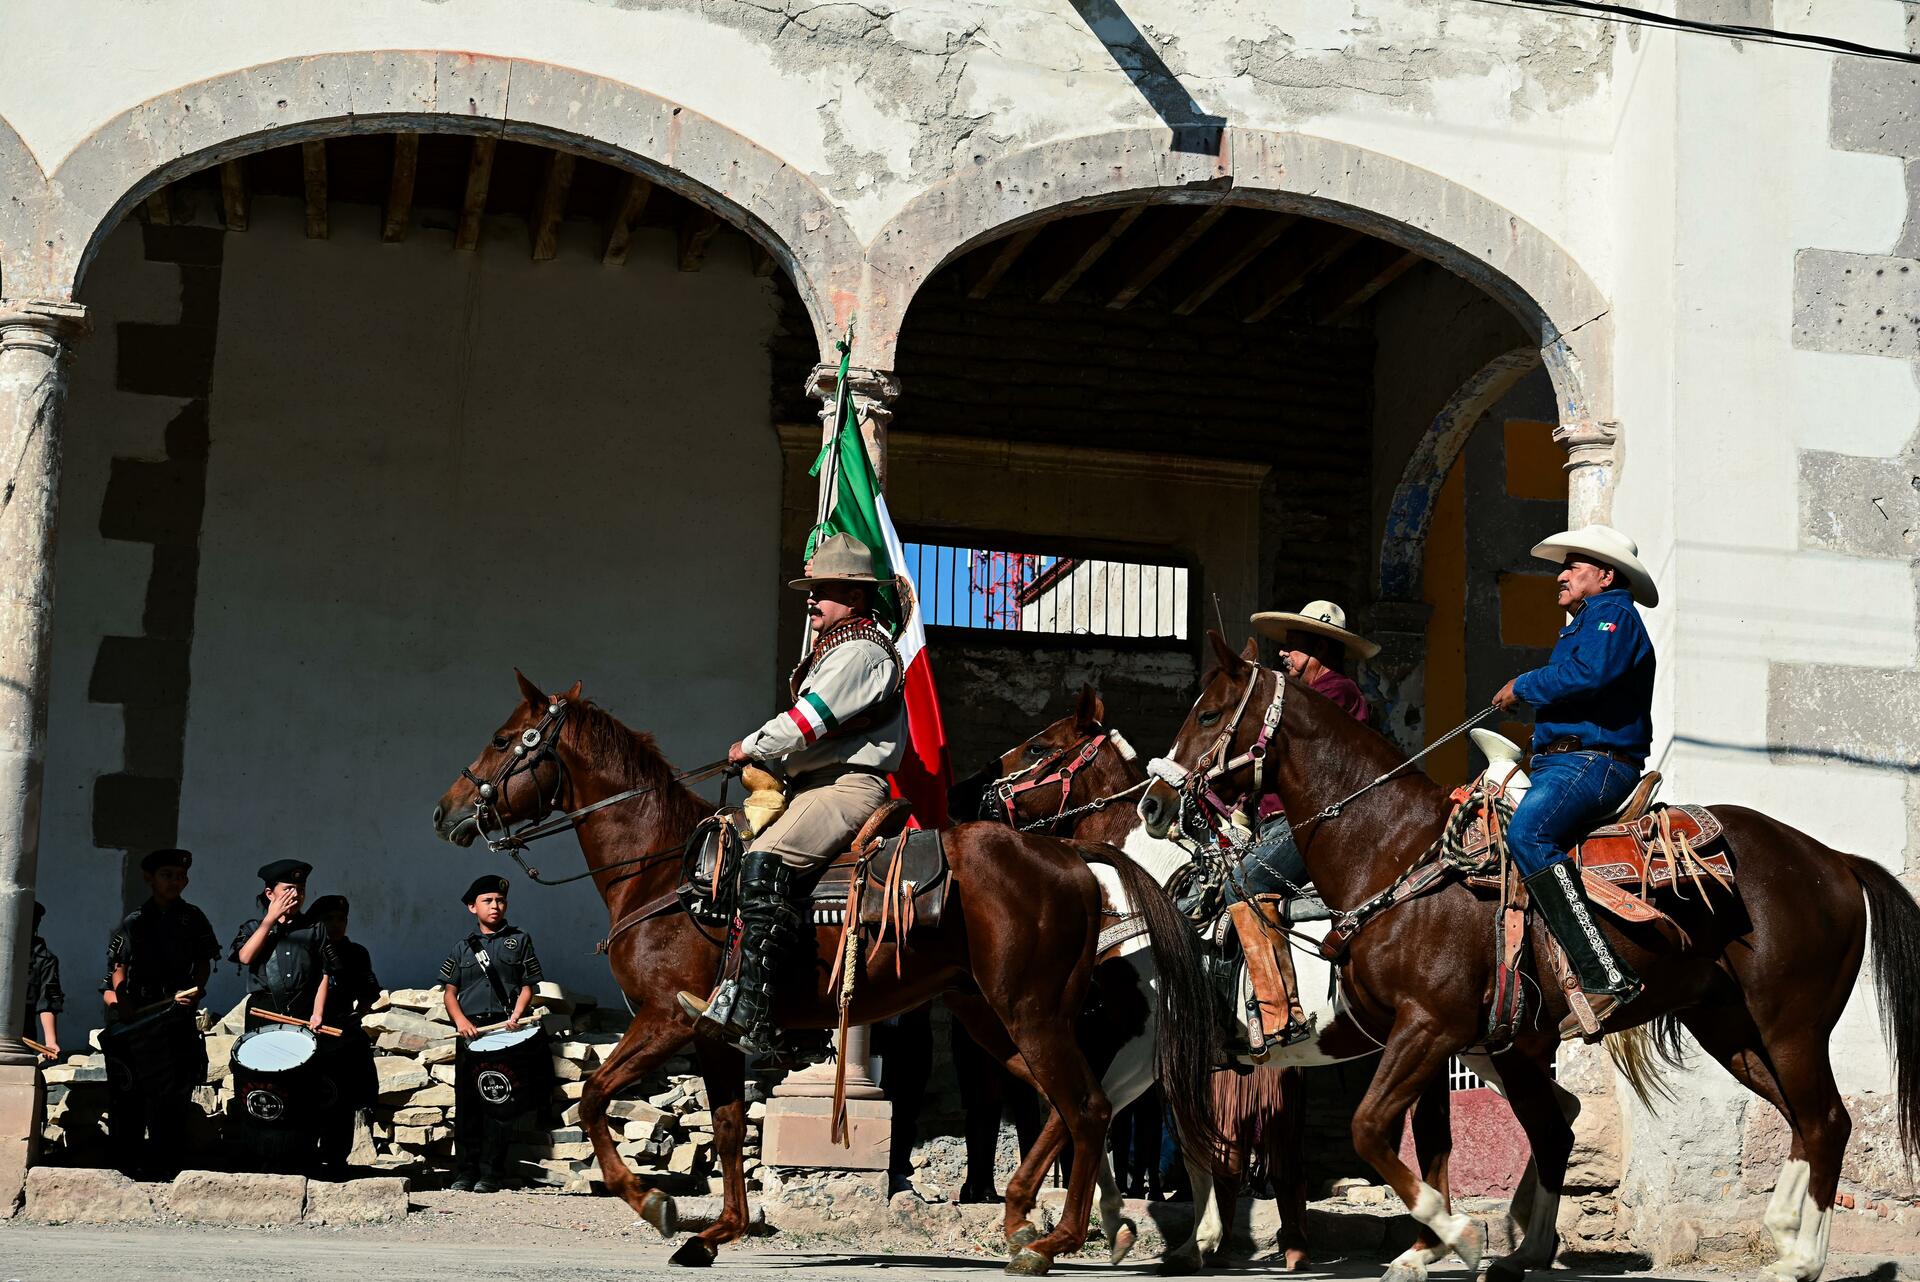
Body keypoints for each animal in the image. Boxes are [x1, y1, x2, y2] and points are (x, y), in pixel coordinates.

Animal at [435, 671, 1213, 1274]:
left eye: (504, 740)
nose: (447, 812)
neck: (664, 870)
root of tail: (1071, 856)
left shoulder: (664, 1021)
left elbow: (594, 1098)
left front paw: (655, 1203)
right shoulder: (714, 1035)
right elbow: (726, 1128)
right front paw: (717, 1232)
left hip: (1029, 1012)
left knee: (1087, 1106)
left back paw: (1055, 1241)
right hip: (991, 1017)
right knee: (1066, 1102)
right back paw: (1054, 1220)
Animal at [1136, 633, 1920, 1282]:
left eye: (1209, 713)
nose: (1152, 805)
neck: (1389, 848)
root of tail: (1833, 861)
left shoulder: (1427, 1028)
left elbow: (1370, 1129)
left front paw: (1457, 1236)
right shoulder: (1425, 1036)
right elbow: (1425, 1141)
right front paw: (1432, 1248)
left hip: (1791, 1025)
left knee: (1825, 1121)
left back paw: (1799, 1259)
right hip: (1724, 1028)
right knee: (1782, 1121)